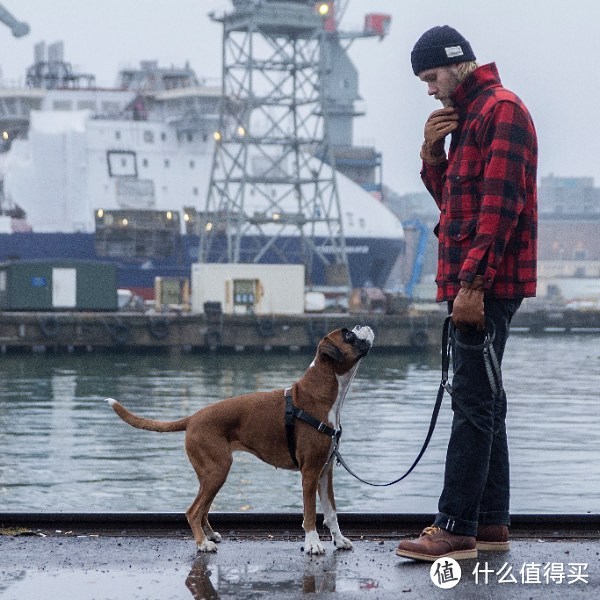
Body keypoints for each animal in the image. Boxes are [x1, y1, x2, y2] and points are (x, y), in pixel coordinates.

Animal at [105, 326, 372, 556]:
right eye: (348, 335)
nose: (362, 326)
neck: (322, 391)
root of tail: (193, 417)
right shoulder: (310, 473)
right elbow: (310, 513)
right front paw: (312, 544)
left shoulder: (325, 472)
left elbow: (331, 512)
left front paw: (339, 540)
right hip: (217, 471)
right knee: (193, 511)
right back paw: (202, 543)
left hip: (212, 475)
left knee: (203, 508)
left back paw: (209, 535)